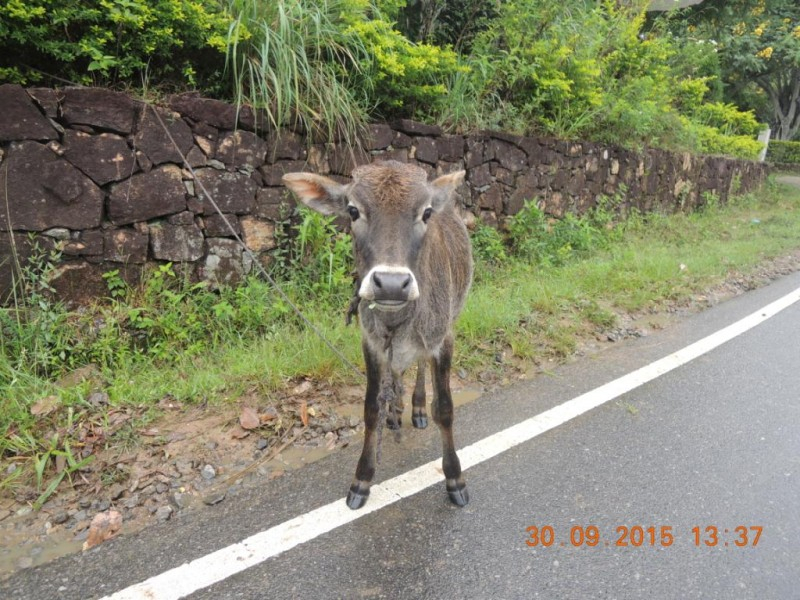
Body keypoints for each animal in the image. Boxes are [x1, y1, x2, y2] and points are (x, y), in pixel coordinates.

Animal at [284, 162, 472, 508]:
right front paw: (361, 480)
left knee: (420, 366)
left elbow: (445, 408)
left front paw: (454, 477)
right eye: (353, 210)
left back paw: (417, 407)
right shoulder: (370, 342)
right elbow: (370, 408)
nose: (392, 284)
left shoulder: (443, 339)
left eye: (426, 212)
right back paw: (396, 410)